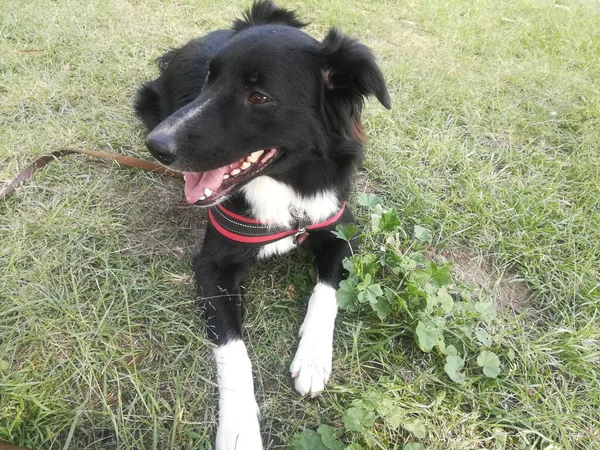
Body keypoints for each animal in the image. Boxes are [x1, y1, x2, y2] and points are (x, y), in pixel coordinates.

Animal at [134, 2, 392, 446]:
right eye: (209, 79)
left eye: (259, 97)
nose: (157, 146)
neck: (284, 186)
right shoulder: (211, 266)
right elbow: (234, 350)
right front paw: (239, 430)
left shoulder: (341, 231)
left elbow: (326, 292)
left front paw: (313, 359)